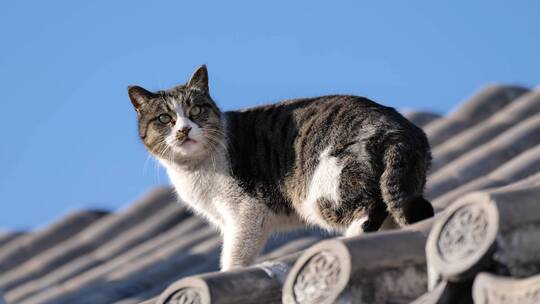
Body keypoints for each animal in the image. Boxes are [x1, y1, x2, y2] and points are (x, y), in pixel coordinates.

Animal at [127, 65, 434, 270]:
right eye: (165, 118)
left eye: (196, 111)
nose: (184, 129)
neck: (194, 170)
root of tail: (399, 130)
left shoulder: (246, 212)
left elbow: (234, 255)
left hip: (325, 187)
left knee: (370, 209)